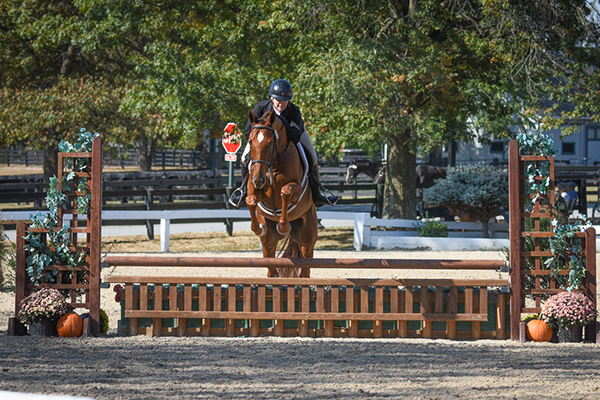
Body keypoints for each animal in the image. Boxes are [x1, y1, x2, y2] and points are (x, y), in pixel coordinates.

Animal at [245, 109, 318, 278]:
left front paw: (283, 227)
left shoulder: (296, 191)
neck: (274, 165)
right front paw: (258, 229)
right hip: (269, 243)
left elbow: (285, 192)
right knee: (271, 266)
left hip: (307, 239)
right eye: (251, 142)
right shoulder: (257, 192)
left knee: (305, 269)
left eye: (270, 143)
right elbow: (250, 200)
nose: (258, 179)